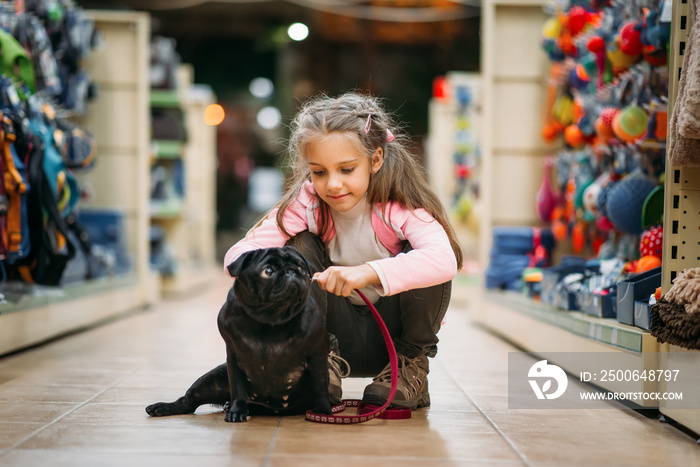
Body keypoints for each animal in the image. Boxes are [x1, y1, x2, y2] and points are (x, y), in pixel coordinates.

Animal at [144, 249, 332, 424]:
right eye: (268, 271)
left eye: (301, 267)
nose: (292, 272)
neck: (271, 319)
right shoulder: (234, 359)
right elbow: (238, 389)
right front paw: (236, 411)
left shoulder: (316, 356)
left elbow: (320, 386)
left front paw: (323, 410)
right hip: (213, 379)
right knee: (188, 402)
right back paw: (163, 407)